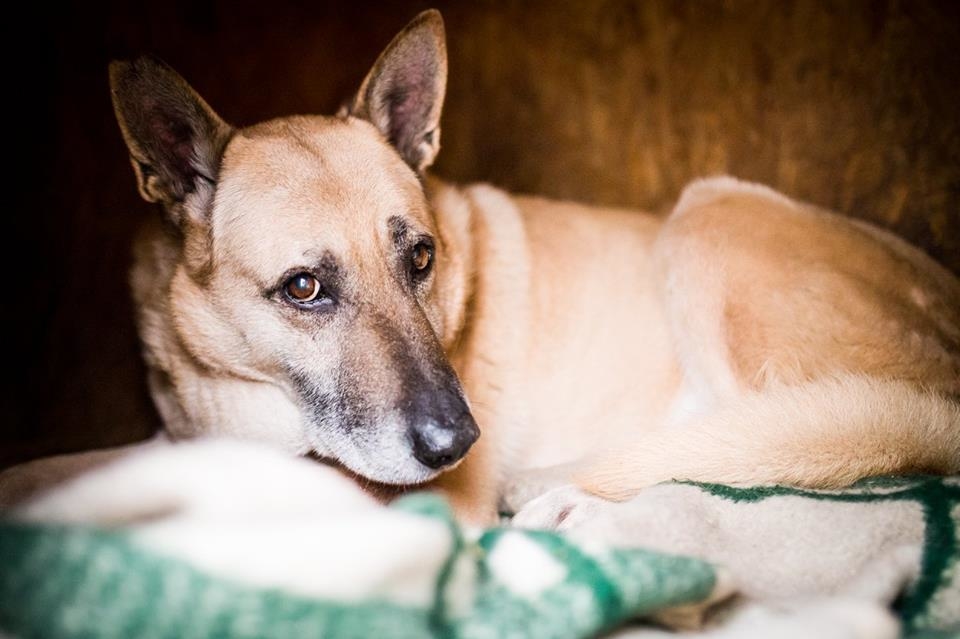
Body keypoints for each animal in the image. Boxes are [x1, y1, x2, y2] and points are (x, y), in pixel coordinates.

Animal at [1, 8, 960, 524]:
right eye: (304, 288)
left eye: (421, 257)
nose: (459, 444)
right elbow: (63, 472)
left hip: (710, 218)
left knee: (772, 450)